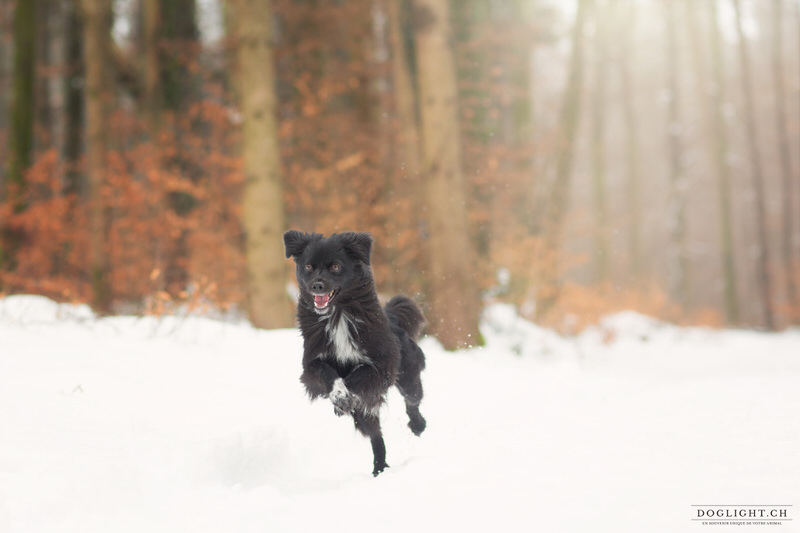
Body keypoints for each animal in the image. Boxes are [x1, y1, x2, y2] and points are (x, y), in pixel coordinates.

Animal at [284, 231, 428, 476]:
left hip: (408, 376)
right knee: (376, 436)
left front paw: (344, 397)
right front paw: (340, 397)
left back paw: (418, 426)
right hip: (367, 417)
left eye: (335, 267)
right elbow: (327, 374)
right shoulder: (310, 365)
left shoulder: (383, 364)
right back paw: (379, 469)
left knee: (412, 400)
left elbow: (356, 376)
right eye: (309, 266)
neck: (337, 315)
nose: (317, 285)